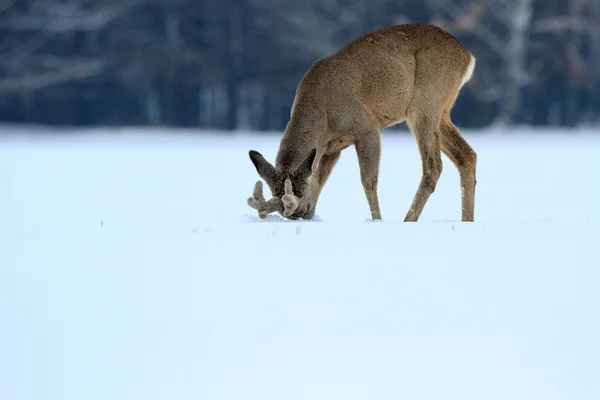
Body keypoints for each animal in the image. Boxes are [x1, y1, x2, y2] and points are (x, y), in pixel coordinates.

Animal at [246, 22, 476, 222]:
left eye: (298, 193)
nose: (297, 215)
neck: (323, 116)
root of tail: (467, 56)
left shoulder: (366, 128)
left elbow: (368, 181)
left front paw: (377, 221)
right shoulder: (331, 148)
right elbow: (320, 181)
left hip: (425, 103)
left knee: (433, 166)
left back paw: (408, 220)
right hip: (442, 110)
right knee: (467, 156)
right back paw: (467, 220)